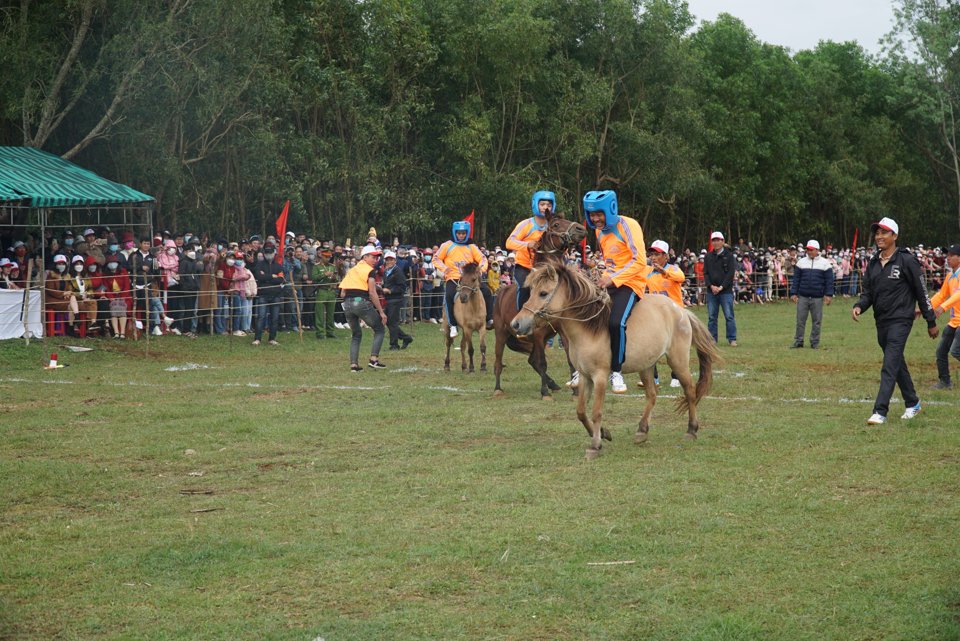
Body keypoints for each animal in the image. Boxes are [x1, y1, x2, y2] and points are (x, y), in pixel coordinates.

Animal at [492, 212, 588, 398]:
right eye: (556, 224)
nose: (581, 229)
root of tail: (500, 292)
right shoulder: (537, 334)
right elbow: (543, 363)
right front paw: (545, 393)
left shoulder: (561, 332)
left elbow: (569, 359)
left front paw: (574, 390)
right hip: (501, 333)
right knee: (499, 361)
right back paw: (498, 389)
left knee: (531, 360)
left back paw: (553, 384)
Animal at [512, 264, 716, 460]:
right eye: (531, 291)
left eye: (543, 293)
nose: (516, 324)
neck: (588, 327)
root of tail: (680, 310)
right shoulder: (585, 376)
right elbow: (581, 411)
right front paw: (603, 433)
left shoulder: (600, 377)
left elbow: (596, 412)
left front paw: (595, 445)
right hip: (646, 366)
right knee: (652, 395)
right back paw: (642, 431)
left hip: (678, 361)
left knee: (690, 391)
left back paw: (691, 429)